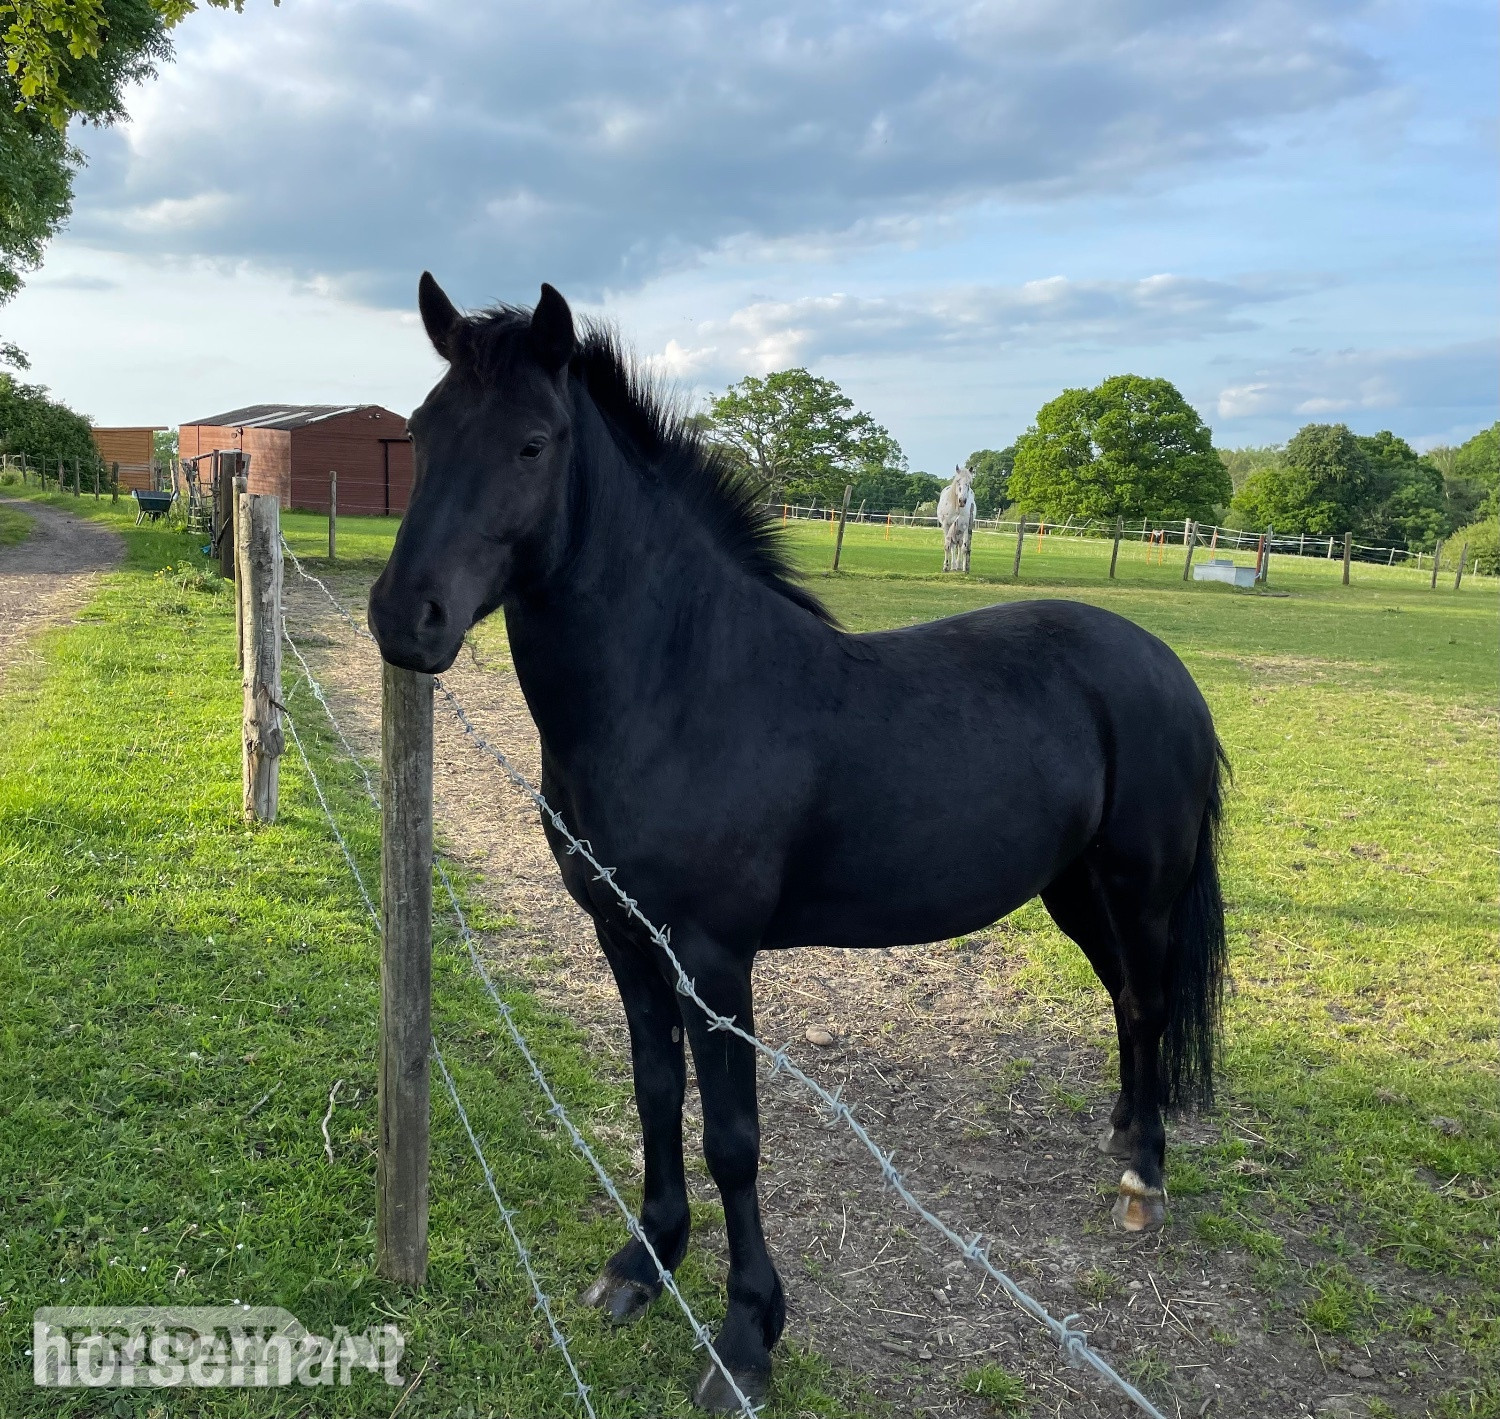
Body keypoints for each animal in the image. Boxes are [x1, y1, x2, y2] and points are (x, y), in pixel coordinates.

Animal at [368, 276, 1229, 1411]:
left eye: (533, 442)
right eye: (421, 431)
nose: (404, 619)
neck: (680, 685)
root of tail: (1162, 663)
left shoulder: (714, 957)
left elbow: (734, 1138)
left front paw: (745, 1337)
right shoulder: (624, 940)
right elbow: (655, 1094)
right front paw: (643, 1264)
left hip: (1140, 889)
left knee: (1149, 999)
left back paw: (1146, 1176)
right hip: (1075, 892)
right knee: (1129, 1005)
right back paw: (1126, 1144)